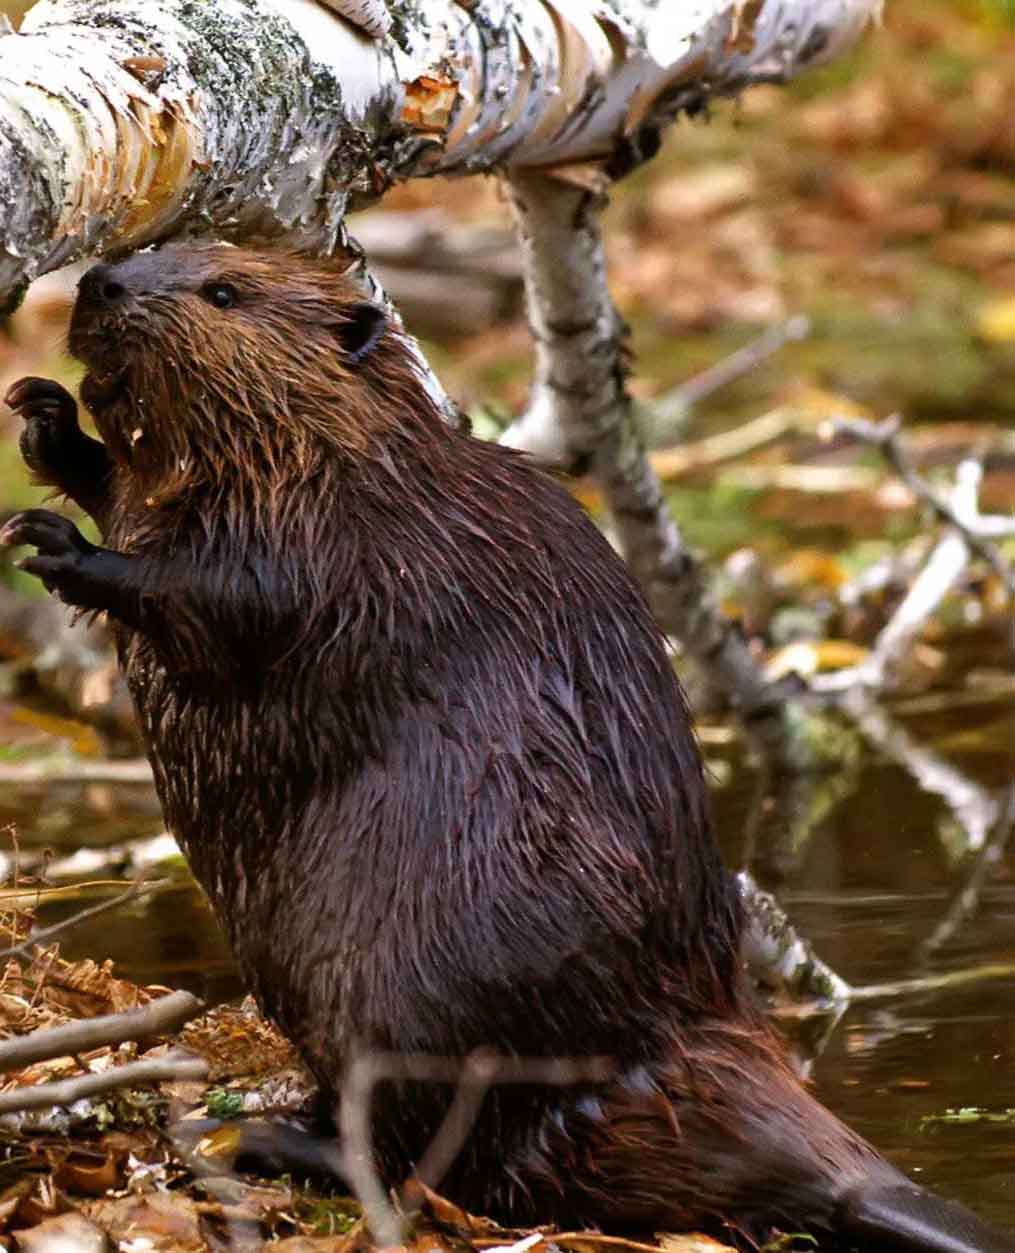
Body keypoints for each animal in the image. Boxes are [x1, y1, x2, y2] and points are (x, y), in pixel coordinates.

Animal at [3, 239, 1007, 1247]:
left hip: (414, 992)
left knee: (432, 1151)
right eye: (155, 255)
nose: (101, 283)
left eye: (224, 291)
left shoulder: (349, 538)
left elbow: (231, 597)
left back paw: (259, 1138)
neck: (347, 452)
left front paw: (67, 548)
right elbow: (129, 490)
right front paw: (44, 420)